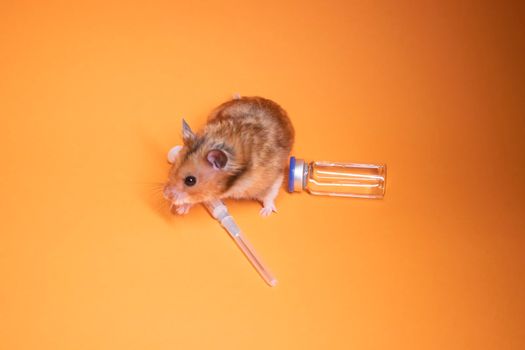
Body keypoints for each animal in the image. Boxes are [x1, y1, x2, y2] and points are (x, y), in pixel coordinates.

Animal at [163, 95, 294, 216]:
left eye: (190, 181)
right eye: (173, 167)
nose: (165, 194)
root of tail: (277, 107)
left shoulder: (273, 178)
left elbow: (269, 195)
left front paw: (265, 214)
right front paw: (181, 210)